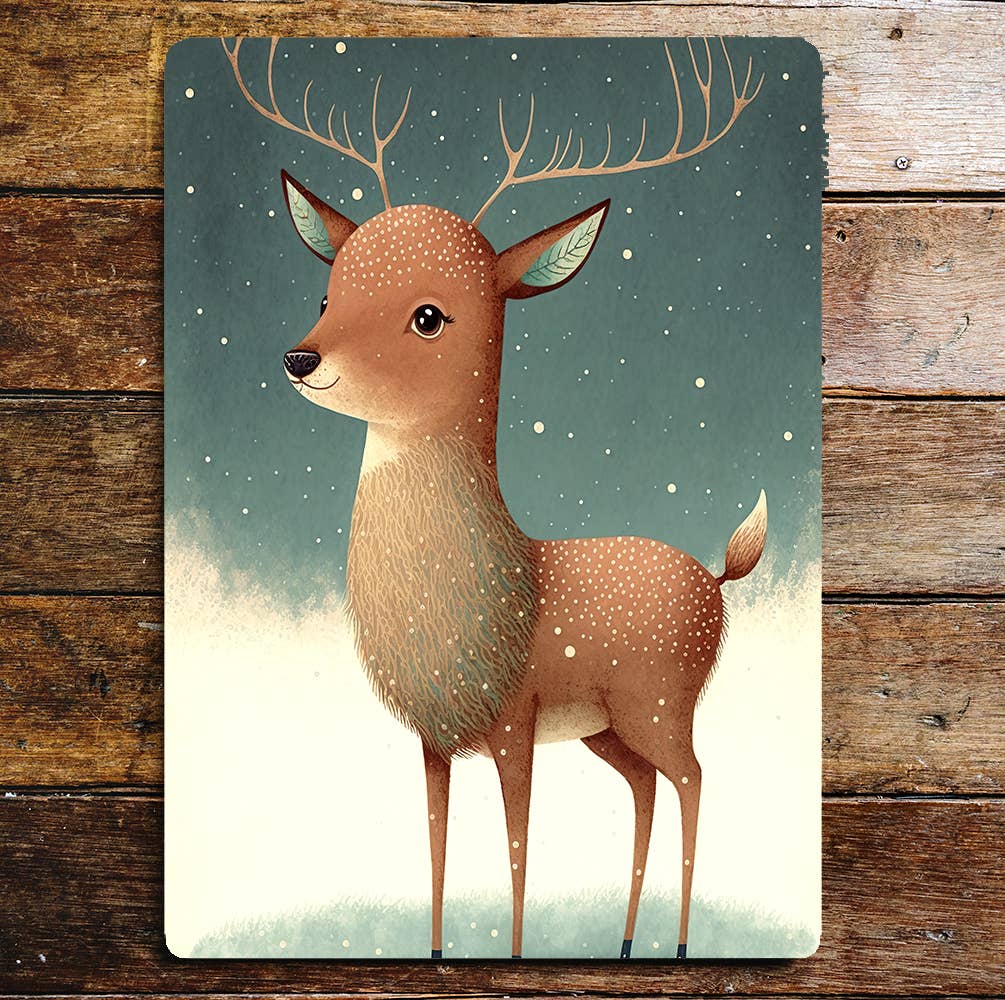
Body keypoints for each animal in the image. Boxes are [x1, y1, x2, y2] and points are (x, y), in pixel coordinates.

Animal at [223, 36, 767, 960]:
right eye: (329, 292)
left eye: (429, 315)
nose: (300, 358)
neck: (496, 593)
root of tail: (717, 577)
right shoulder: (433, 738)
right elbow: (437, 840)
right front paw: (438, 951)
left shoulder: (515, 720)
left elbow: (516, 844)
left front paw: (510, 954)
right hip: (607, 728)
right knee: (646, 789)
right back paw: (625, 943)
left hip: (658, 702)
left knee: (693, 779)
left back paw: (678, 944)